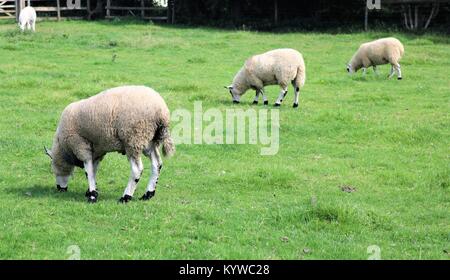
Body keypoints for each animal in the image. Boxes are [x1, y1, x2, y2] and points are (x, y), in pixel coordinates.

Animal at [43, 85, 174, 203]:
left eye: (53, 168)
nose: (59, 189)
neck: (64, 148)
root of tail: (161, 111)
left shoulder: (80, 145)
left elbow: (88, 171)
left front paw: (92, 196)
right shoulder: (97, 149)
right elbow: (94, 169)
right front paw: (91, 190)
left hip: (133, 139)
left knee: (137, 169)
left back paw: (126, 197)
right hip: (149, 140)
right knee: (157, 164)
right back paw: (148, 194)